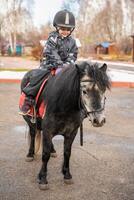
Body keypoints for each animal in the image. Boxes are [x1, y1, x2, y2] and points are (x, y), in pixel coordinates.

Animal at [20, 61, 110, 190]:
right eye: (84, 91)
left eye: (103, 90)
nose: (99, 120)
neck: (64, 106)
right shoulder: (48, 131)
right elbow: (45, 155)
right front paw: (43, 179)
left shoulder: (71, 132)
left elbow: (67, 153)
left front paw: (67, 175)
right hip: (30, 121)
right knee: (33, 134)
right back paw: (30, 154)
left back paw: (53, 151)